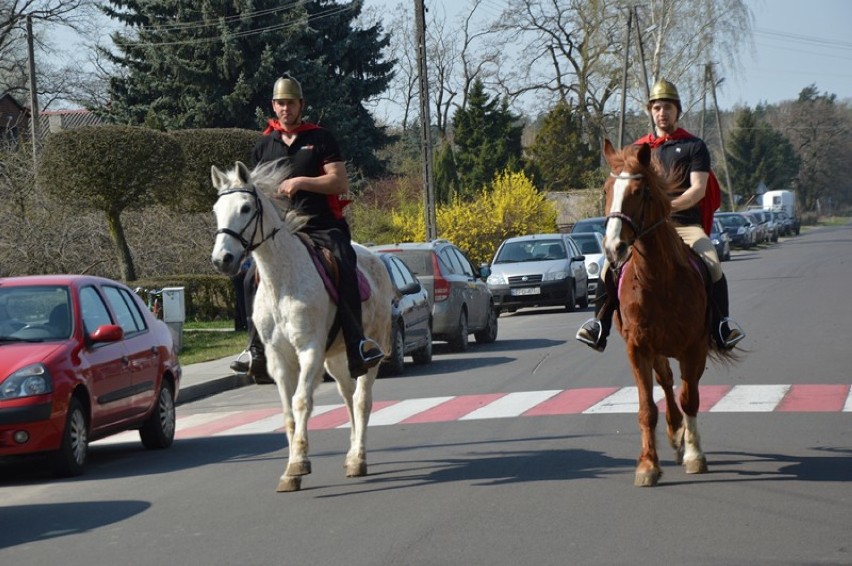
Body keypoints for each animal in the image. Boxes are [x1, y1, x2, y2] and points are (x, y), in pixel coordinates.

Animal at [210, 160, 392, 492]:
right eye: (217, 209)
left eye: (245, 207)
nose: (223, 259)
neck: (282, 280)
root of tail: (375, 257)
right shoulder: (278, 357)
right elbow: (287, 411)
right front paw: (291, 469)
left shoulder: (309, 350)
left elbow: (301, 401)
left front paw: (297, 464)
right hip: (337, 358)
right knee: (347, 395)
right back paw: (350, 455)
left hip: (371, 350)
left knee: (361, 400)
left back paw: (359, 458)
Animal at [604, 139, 736, 488]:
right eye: (606, 189)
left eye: (640, 191)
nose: (612, 249)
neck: (657, 277)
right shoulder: (638, 347)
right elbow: (646, 407)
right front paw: (648, 465)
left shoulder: (694, 347)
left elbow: (690, 397)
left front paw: (694, 455)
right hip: (657, 348)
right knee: (665, 381)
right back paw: (674, 432)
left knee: (682, 389)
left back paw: (683, 439)